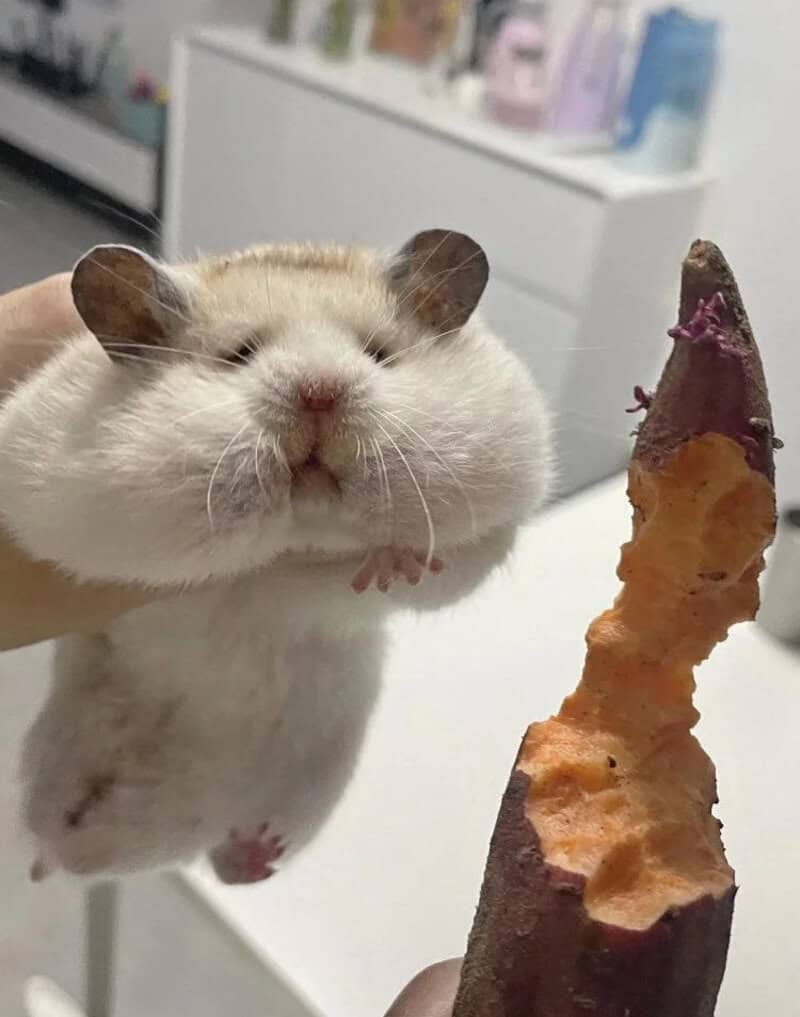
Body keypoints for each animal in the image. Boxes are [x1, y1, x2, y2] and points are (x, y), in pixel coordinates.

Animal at [0, 230, 551, 884]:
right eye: (240, 355)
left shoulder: (495, 522)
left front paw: (393, 560)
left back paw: (255, 849)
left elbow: (444, 568)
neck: (302, 531)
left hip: (310, 788)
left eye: (379, 353)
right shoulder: (72, 504)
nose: (320, 393)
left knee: (224, 861)